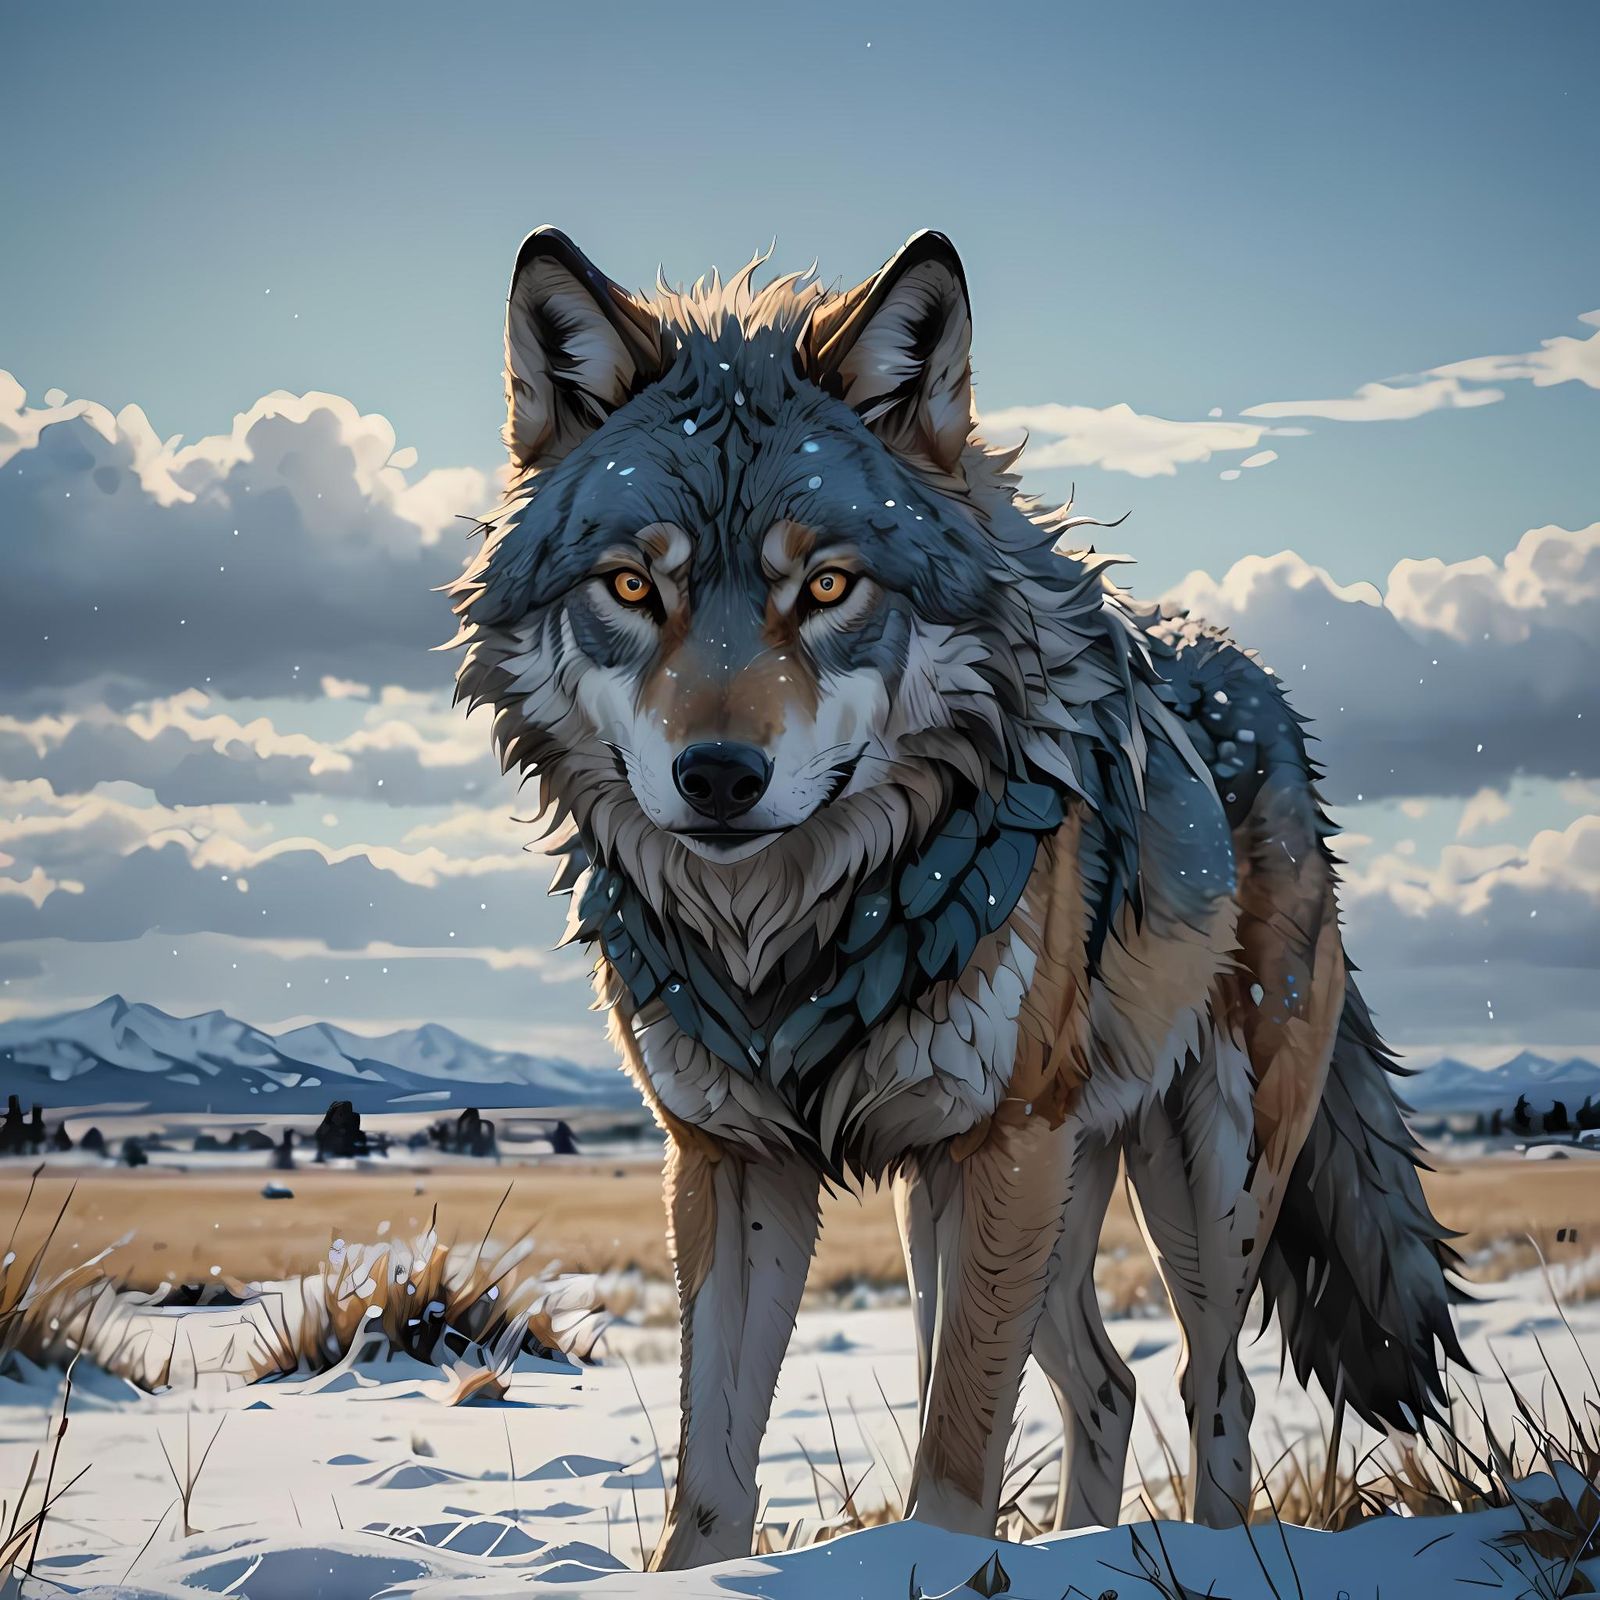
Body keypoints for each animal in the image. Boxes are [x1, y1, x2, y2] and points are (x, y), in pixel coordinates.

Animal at [448, 228, 1464, 1568]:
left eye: (828, 588)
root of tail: (1264, 693)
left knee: (1216, 1386)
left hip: (1197, 1180)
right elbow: (710, 1484)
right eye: (630, 587)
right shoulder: (730, 1160)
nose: (718, 776)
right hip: (1010, 1202)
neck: (781, 941)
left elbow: (953, 1455)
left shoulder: (994, 1143)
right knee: (1108, 1384)